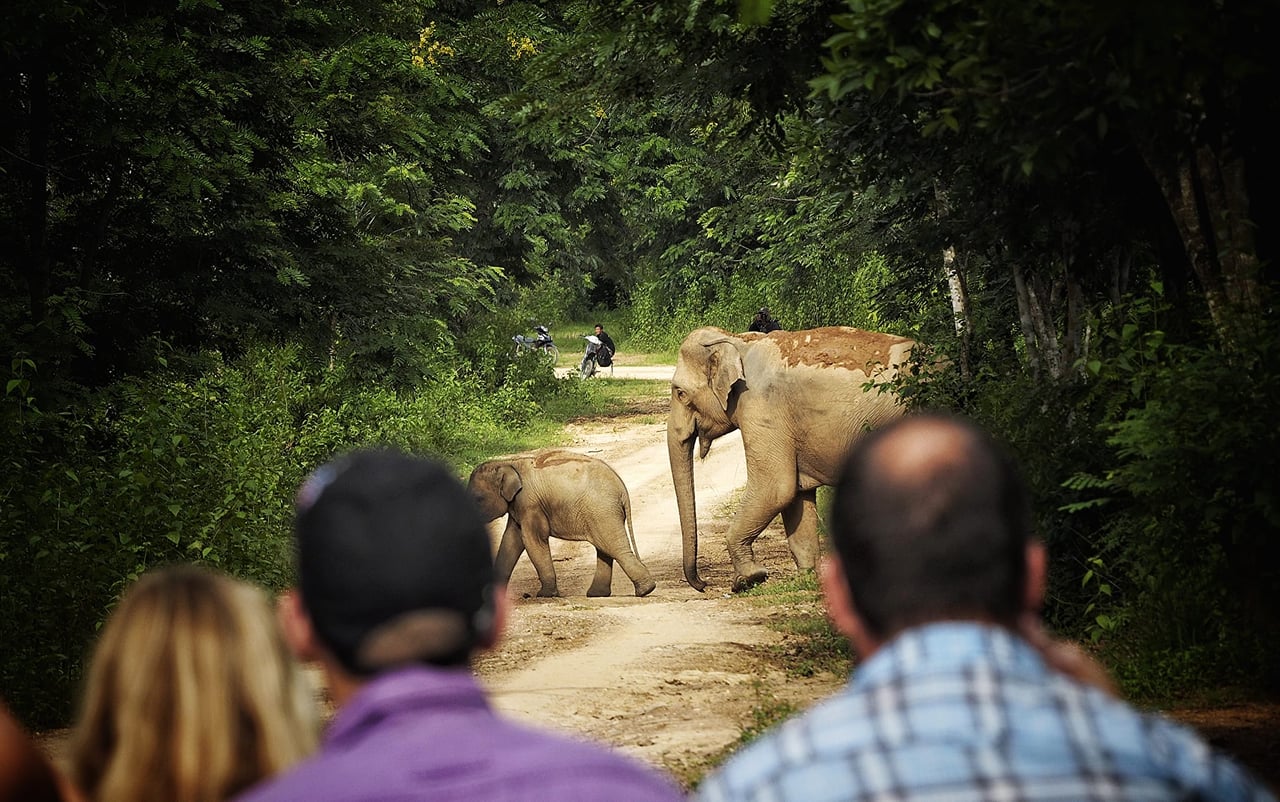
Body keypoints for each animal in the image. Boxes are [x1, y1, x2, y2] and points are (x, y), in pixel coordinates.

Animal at [468, 449, 656, 598]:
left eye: (478, 499)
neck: (509, 464)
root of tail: (622, 488)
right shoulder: (518, 506)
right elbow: (510, 541)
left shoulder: (530, 504)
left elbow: (532, 540)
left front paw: (545, 595)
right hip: (602, 513)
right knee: (604, 548)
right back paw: (597, 594)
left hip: (602, 510)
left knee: (614, 547)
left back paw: (646, 590)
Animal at [668, 326, 915, 592]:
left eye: (680, 393)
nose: (703, 584)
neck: (738, 340)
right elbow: (797, 495)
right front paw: (807, 577)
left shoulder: (761, 408)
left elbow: (775, 489)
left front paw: (748, 579)